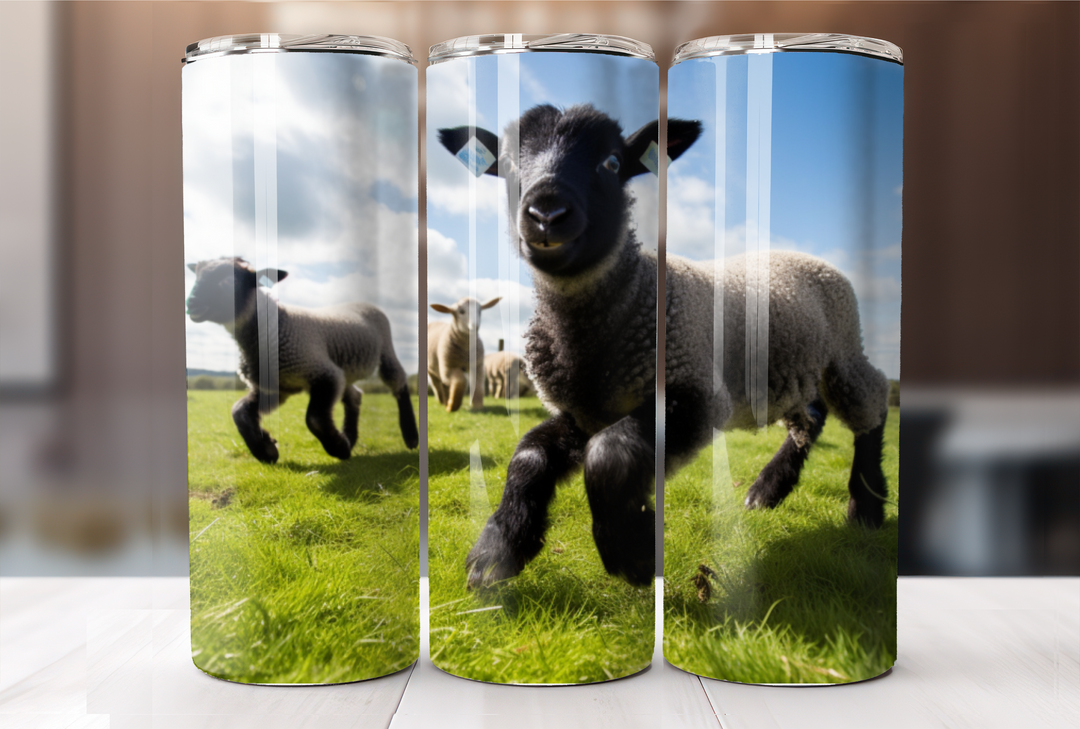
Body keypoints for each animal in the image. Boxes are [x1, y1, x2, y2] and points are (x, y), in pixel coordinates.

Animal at [185, 257, 419, 463]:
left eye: (229, 281)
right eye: (196, 275)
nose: (191, 303)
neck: (277, 327)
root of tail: (359, 301)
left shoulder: (322, 373)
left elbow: (314, 418)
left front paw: (339, 448)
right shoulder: (277, 388)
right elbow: (238, 411)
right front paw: (266, 450)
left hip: (385, 350)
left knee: (398, 382)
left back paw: (411, 436)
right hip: (344, 370)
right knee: (355, 396)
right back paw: (350, 437)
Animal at [439, 103, 890, 592]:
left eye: (612, 163)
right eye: (507, 165)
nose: (546, 214)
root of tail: (809, 258)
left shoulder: (695, 392)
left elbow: (609, 454)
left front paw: (634, 551)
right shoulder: (582, 412)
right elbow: (529, 455)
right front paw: (498, 550)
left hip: (843, 353)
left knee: (874, 400)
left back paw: (866, 507)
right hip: (788, 370)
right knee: (810, 419)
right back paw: (766, 491)